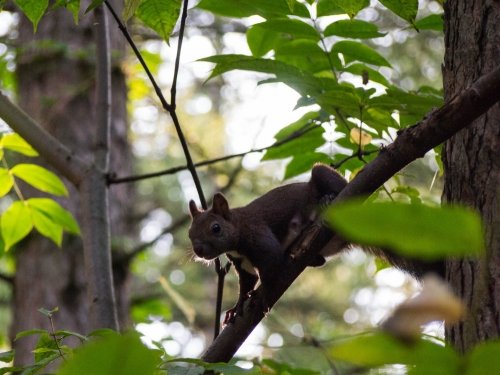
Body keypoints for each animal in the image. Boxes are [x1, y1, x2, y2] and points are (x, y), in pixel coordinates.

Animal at [188, 164, 348, 324]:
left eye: (216, 228)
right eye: (190, 234)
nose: (198, 249)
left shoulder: (260, 237)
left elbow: (271, 268)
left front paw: (262, 297)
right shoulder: (243, 264)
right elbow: (248, 281)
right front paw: (237, 306)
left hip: (323, 176)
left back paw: (328, 198)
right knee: (320, 261)